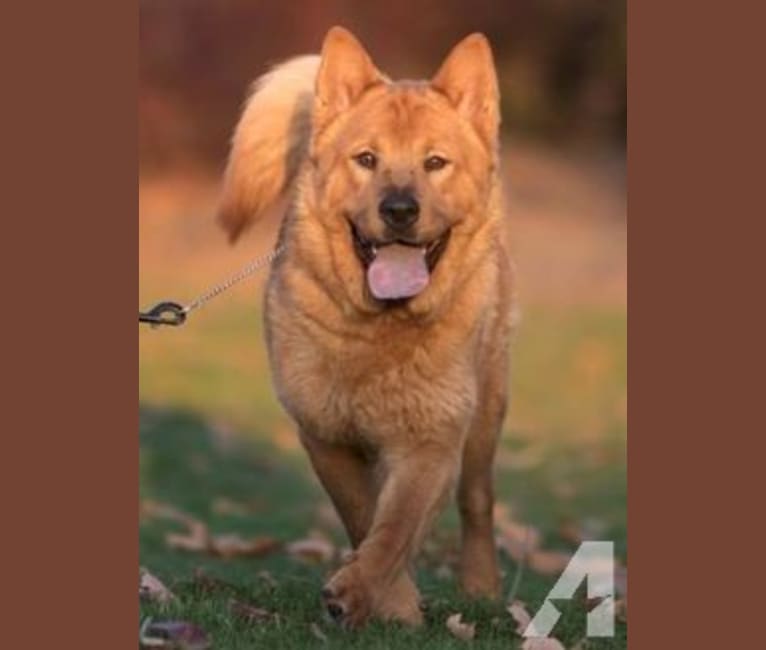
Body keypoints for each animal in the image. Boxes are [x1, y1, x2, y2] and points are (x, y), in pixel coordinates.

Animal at [216, 26, 516, 628]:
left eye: (435, 162)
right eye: (366, 159)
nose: (399, 209)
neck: (380, 328)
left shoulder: (431, 441)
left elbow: (395, 528)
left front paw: (364, 595)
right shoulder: (325, 435)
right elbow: (365, 515)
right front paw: (394, 602)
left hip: (486, 414)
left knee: (477, 502)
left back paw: (481, 589)